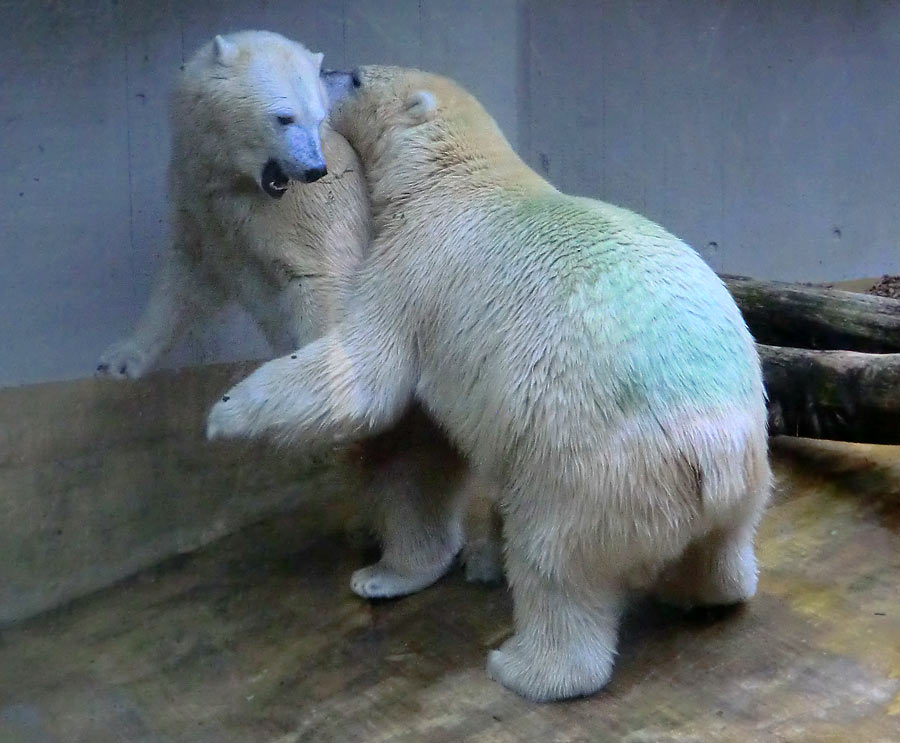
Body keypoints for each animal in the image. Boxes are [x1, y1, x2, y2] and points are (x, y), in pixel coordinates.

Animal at [96, 36, 492, 604]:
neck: (245, 182)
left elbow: (324, 288)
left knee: (407, 476)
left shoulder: (315, 212)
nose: (312, 168)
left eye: (319, 117)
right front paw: (121, 360)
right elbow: (186, 280)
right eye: (284, 116)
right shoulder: (203, 202)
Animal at [206, 64, 772, 704]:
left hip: (592, 471)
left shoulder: (414, 266)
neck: (457, 177)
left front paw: (227, 410)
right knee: (723, 547)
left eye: (353, 78)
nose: (324, 70)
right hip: (744, 473)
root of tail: (712, 453)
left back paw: (523, 666)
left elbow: (369, 375)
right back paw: (707, 593)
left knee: (556, 565)